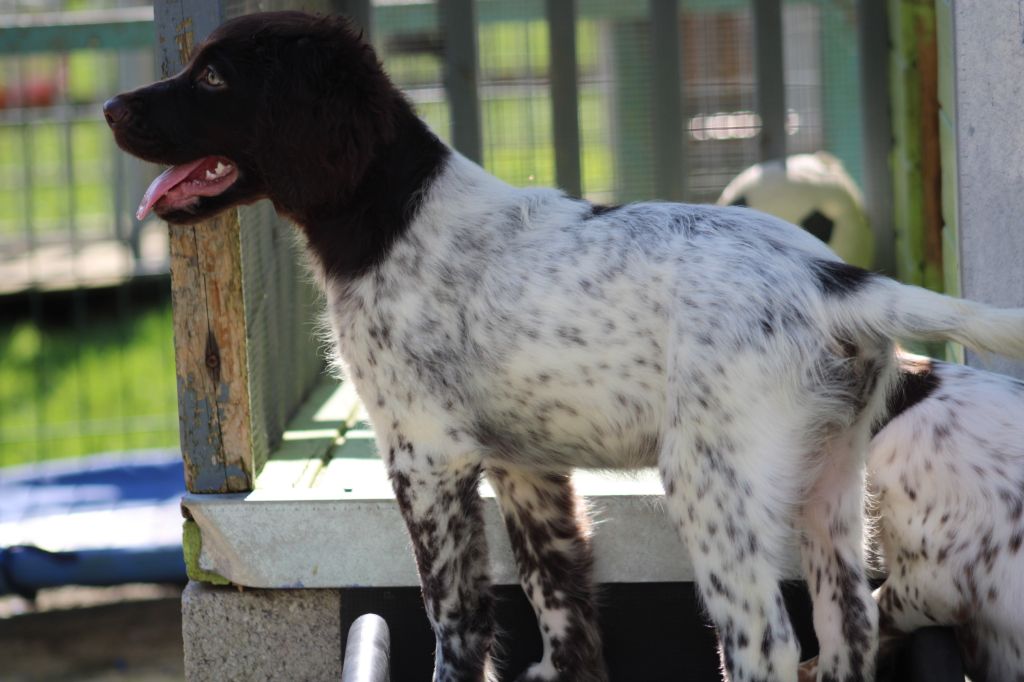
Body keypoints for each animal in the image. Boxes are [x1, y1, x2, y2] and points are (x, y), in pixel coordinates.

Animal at [103, 11, 1024, 679]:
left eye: (213, 75)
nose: (110, 108)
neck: (391, 213)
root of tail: (834, 278)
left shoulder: (426, 456)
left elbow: (456, 616)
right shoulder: (527, 465)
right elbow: (561, 596)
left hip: (713, 482)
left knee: (765, 639)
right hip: (830, 482)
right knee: (849, 631)